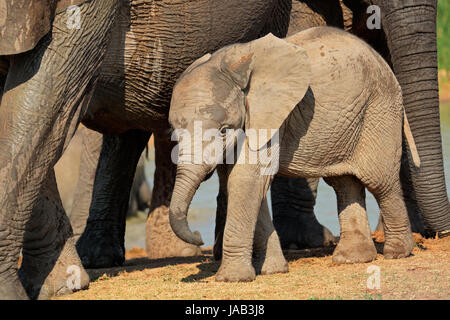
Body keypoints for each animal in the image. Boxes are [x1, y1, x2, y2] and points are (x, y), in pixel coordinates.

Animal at [168, 27, 418, 282]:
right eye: (174, 131)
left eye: (223, 130)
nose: (199, 236)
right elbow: (244, 184)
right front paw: (273, 270)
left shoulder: (271, 118)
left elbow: (245, 180)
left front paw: (232, 279)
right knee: (344, 183)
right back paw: (352, 258)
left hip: (379, 109)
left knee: (380, 182)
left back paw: (397, 253)